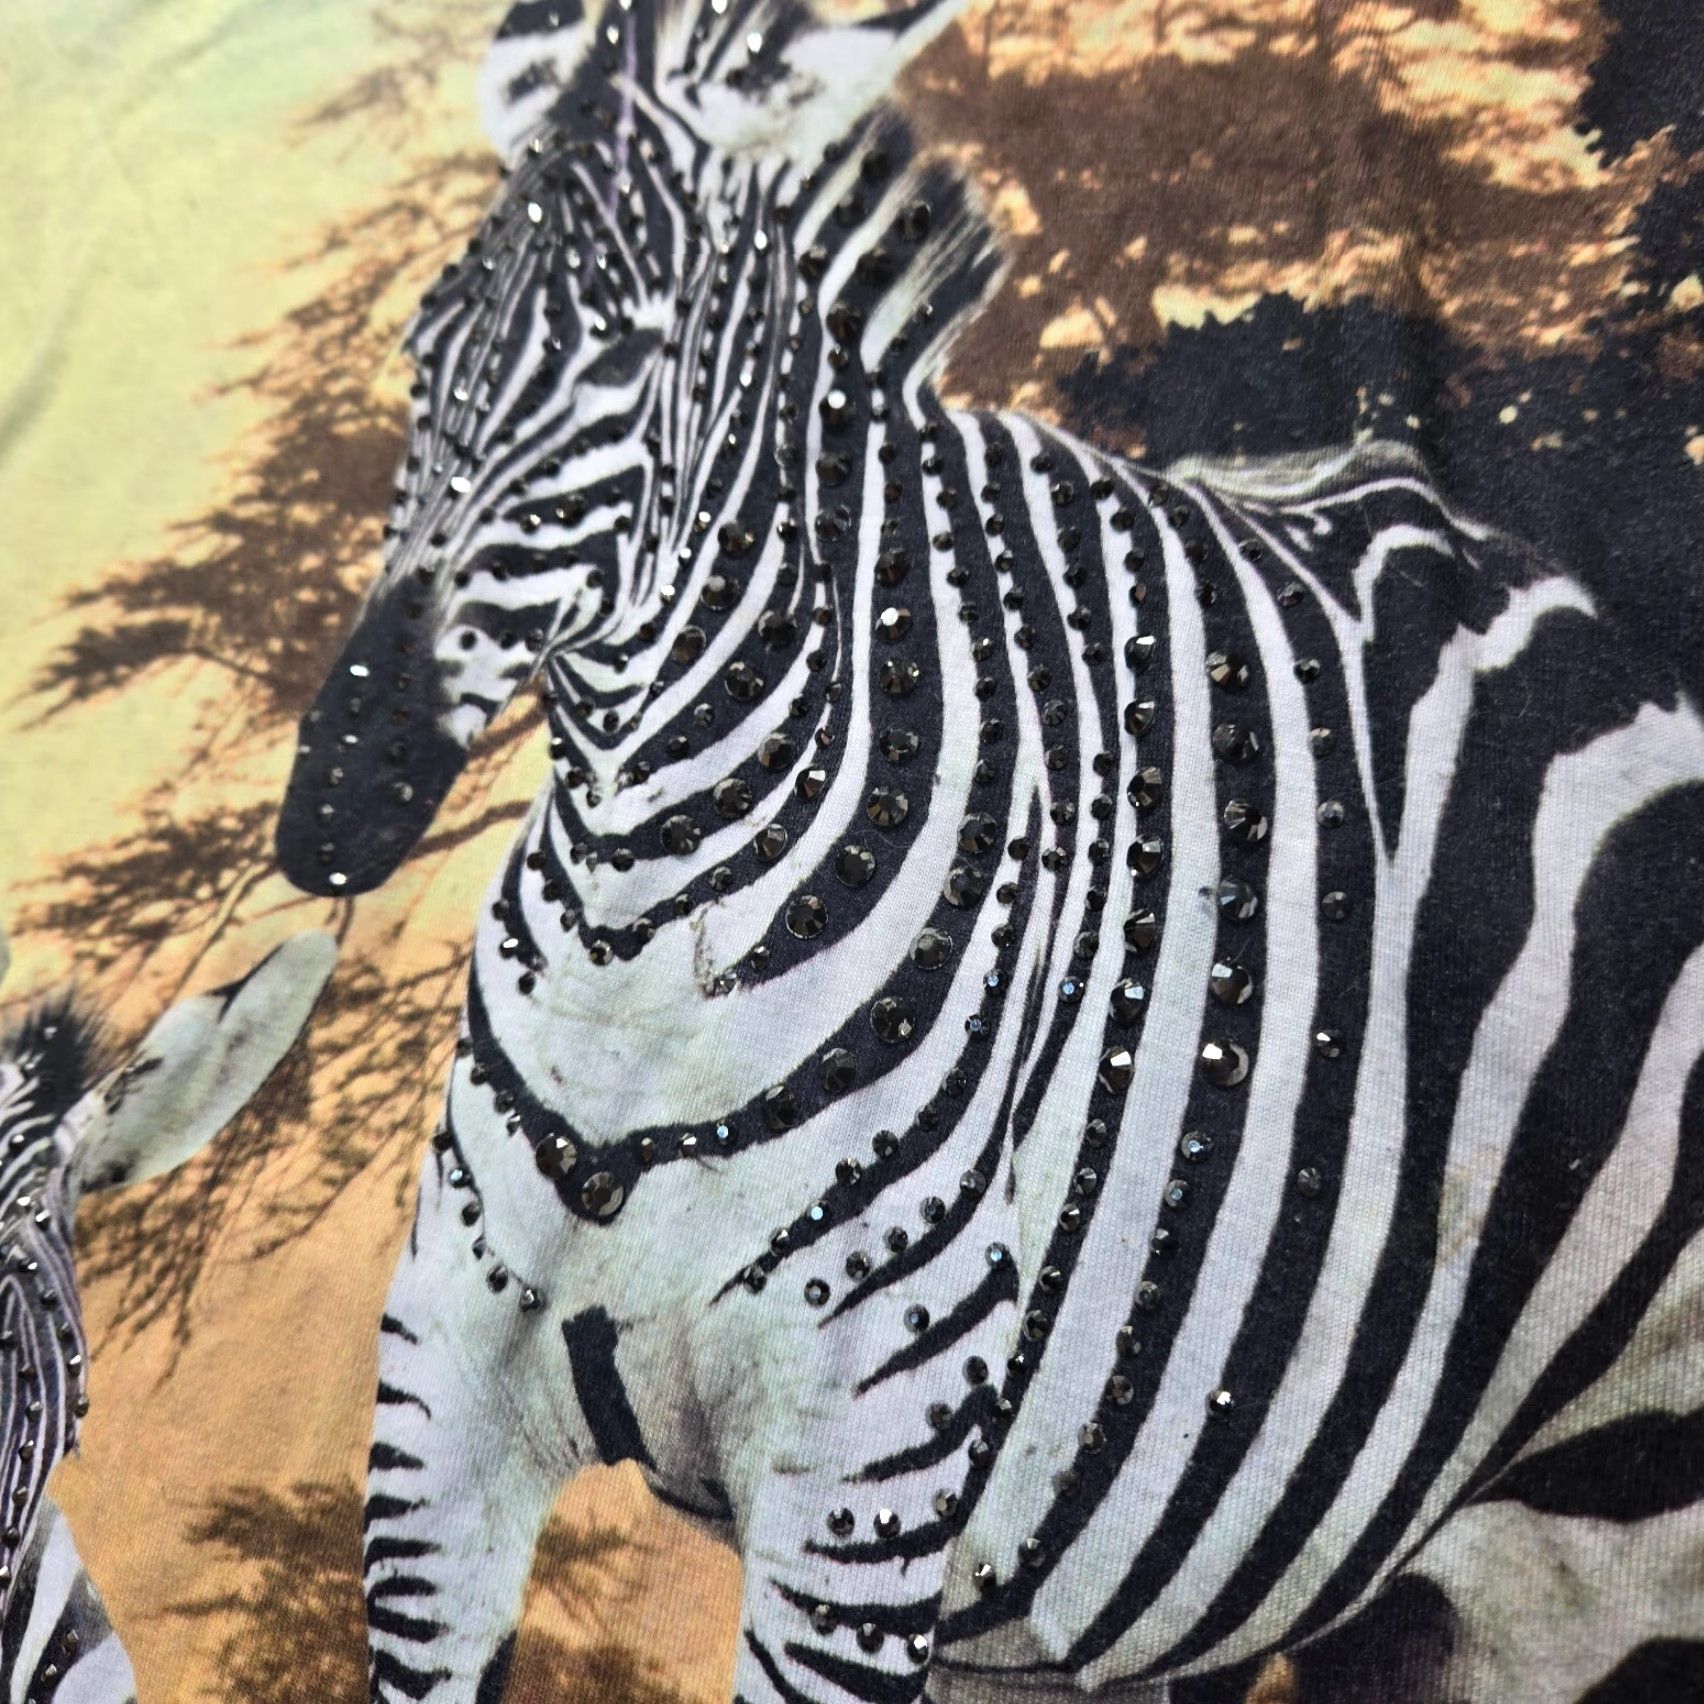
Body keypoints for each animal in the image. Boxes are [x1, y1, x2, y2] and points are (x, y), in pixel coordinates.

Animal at [273, 1, 1704, 1699]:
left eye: (624, 357)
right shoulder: (445, 1401)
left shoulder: (862, 1466)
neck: (650, 949)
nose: (331, 801)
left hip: (1577, 1563)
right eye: (422, 352)